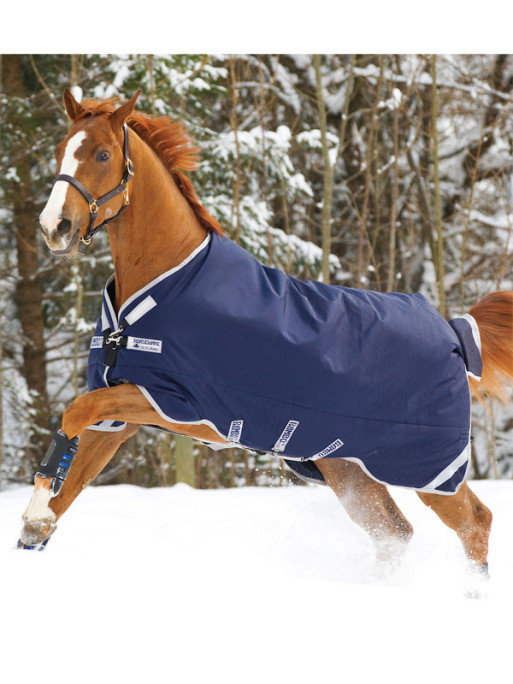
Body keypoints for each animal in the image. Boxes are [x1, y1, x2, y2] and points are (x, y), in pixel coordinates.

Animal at [18, 89, 513, 579]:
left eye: (103, 154)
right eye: (61, 150)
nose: (54, 226)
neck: (164, 285)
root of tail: (453, 330)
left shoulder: (176, 402)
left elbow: (74, 413)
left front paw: (34, 516)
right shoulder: (119, 419)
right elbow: (70, 483)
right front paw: (35, 528)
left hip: (427, 468)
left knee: (475, 522)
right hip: (346, 467)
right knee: (396, 533)